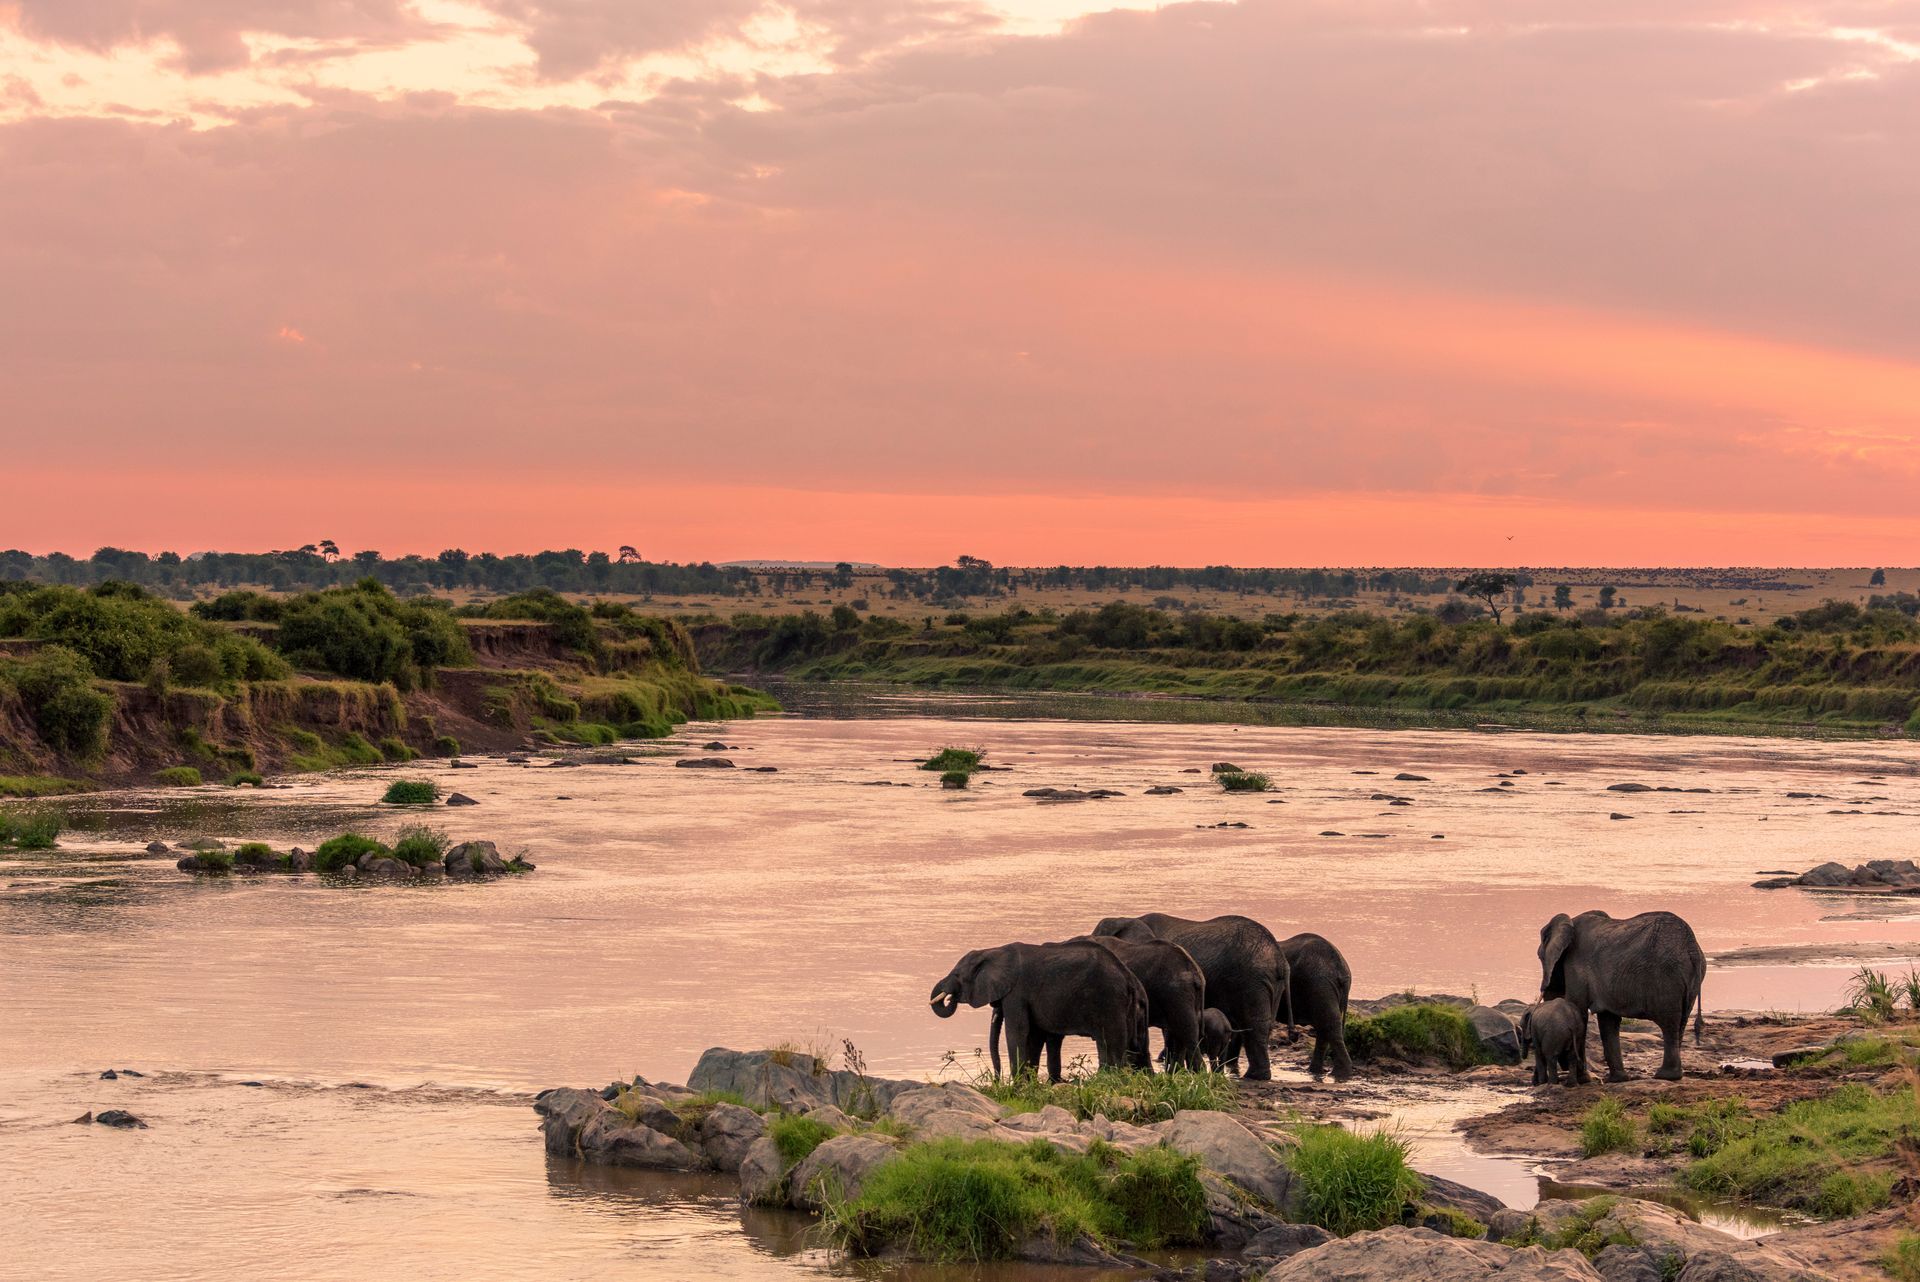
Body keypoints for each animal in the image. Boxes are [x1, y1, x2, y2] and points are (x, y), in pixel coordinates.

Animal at [931, 940, 1147, 1082]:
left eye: (957, 974)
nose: (996, 1081)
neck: (994, 950)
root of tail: (1129, 979)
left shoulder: (1017, 992)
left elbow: (1018, 1031)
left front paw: (1018, 1086)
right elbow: (1034, 1035)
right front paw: (1029, 1083)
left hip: (1109, 1001)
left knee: (1111, 1042)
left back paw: (1107, 1080)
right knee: (1130, 1043)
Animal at [1092, 913, 1288, 1081]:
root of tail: (1279, 958)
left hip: (1251, 981)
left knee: (1254, 1024)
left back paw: (1253, 1076)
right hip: (1268, 984)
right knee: (1262, 1025)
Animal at [1539, 910, 1705, 1082]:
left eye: (1540, 957)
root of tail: (1691, 947)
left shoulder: (1576, 966)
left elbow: (1580, 1012)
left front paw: (1584, 1080)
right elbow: (1608, 1020)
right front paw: (1617, 1079)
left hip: (1667, 977)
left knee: (1669, 1024)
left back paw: (1665, 1076)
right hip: (1690, 981)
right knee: (1681, 1022)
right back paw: (1672, 1075)